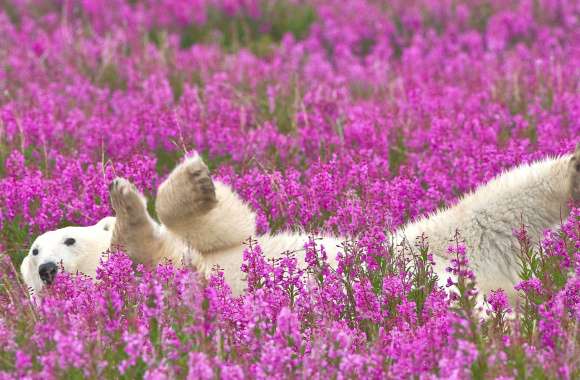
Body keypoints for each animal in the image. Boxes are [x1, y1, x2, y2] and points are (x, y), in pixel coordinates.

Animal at [19, 145, 580, 300]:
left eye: (66, 239)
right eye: (33, 253)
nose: (46, 270)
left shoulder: (209, 252)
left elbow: (229, 228)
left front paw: (189, 182)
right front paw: (129, 208)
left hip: (422, 243)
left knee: (498, 202)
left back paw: (571, 168)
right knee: (493, 217)